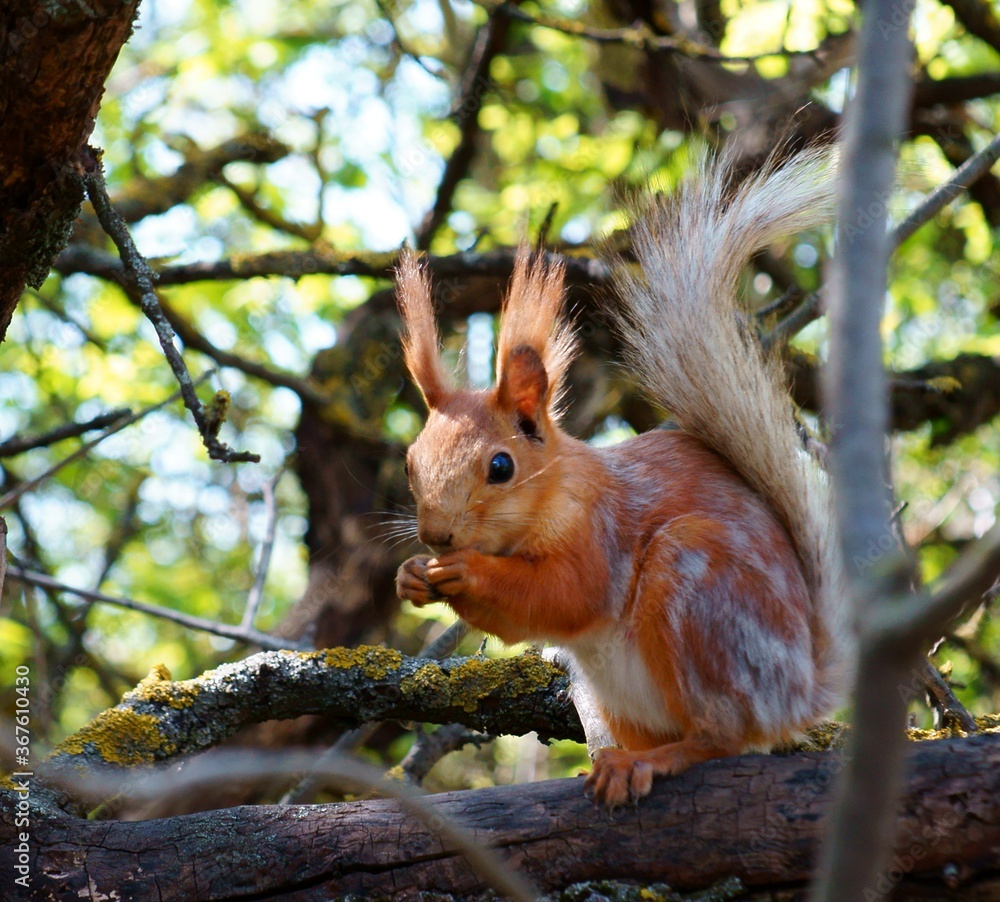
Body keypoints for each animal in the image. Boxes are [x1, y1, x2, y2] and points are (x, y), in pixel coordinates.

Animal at [394, 149, 851, 808]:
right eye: (410, 461)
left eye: (501, 467)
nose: (436, 537)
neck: (556, 492)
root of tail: (797, 691)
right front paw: (411, 576)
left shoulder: (600, 530)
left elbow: (565, 594)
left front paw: (466, 571)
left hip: (699, 598)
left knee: (723, 737)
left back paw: (652, 762)